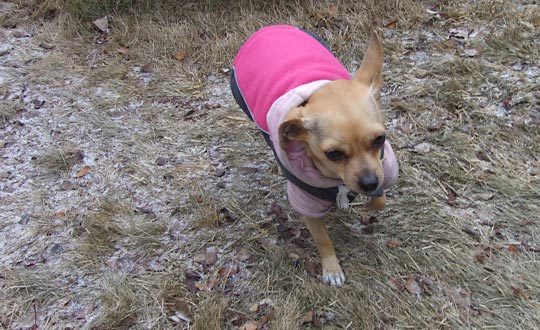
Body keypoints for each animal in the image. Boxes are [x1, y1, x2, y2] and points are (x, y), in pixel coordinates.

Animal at [230, 26, 398, 286]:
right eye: (333, 154)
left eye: (380, 139)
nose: (369, 183)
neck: (336, 180)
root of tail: (268, 29)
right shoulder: (306, 205)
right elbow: (323, 240)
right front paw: (332, 269)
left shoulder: (380, 171)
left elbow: (380, 201)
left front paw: (370, 203)